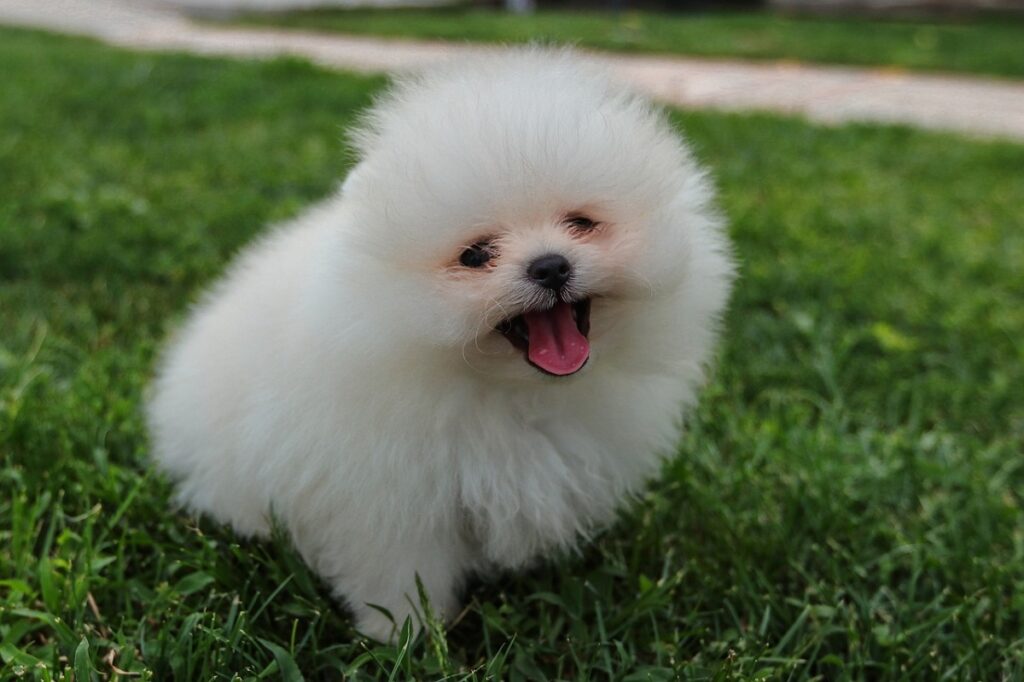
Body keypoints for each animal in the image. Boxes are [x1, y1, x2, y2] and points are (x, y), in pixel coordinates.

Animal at [148, 47, 733, 638]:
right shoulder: (387, 492)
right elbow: (398, 565)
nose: (550, 265)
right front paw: (404, 633)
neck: (511, 392)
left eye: (582, 223)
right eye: (475, 255)